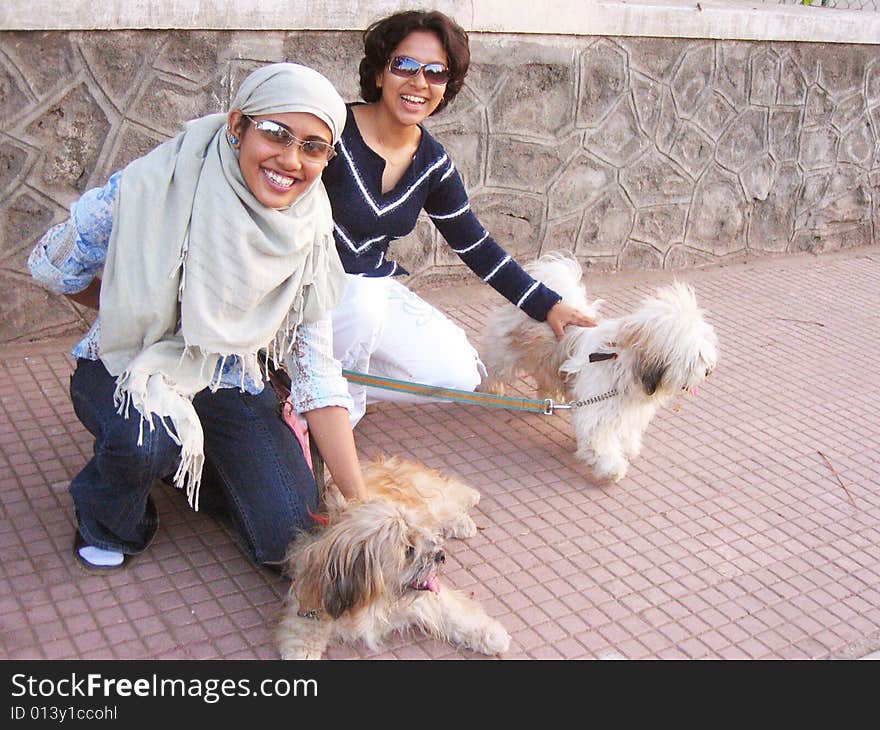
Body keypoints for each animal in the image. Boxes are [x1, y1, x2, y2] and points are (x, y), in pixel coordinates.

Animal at [478, 253, 720, 480]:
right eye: (695, 358)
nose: (708, 371)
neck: (623, 362)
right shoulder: (597, 411)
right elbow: (600, 439)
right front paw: (612, 467)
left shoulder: (626, 410)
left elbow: (626, 431)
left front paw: (628, 448)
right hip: (504, 353)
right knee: (491, 367)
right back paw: (487, 388)